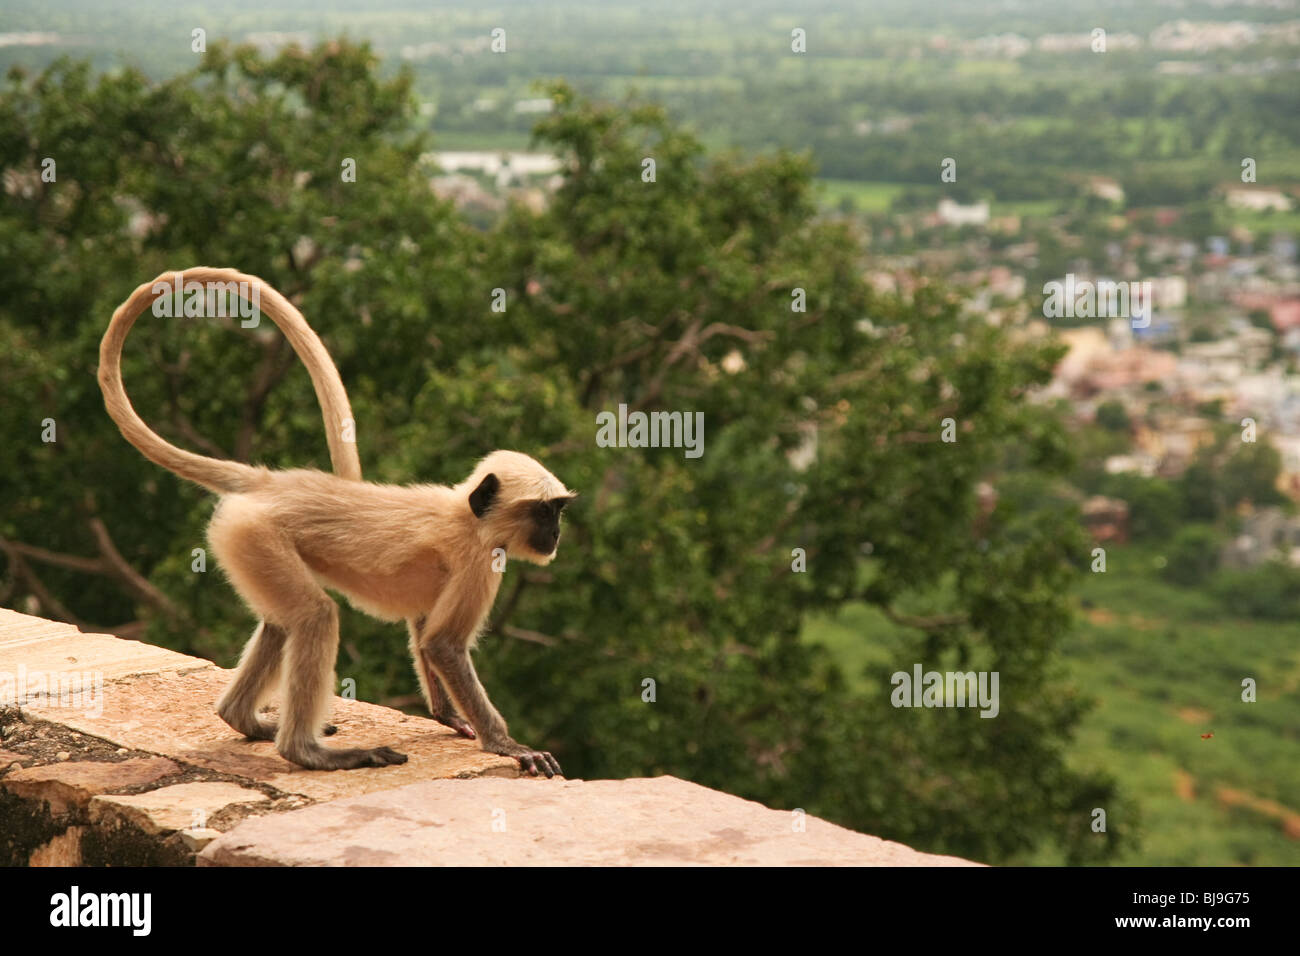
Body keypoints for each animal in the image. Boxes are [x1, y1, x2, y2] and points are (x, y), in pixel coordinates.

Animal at [98, 267, 574, 775]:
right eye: (544, 511)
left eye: (558, 511)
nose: (555, 533)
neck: (468, 516)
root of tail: (271, 482)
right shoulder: (480, 560)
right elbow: (443, 644)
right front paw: (507, 745)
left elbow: (423, 626)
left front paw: (448, 715)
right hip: (256, 536)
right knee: (315, 616)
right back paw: (304, 751)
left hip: (248, 544)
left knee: (281, 623)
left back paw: (245, 720)